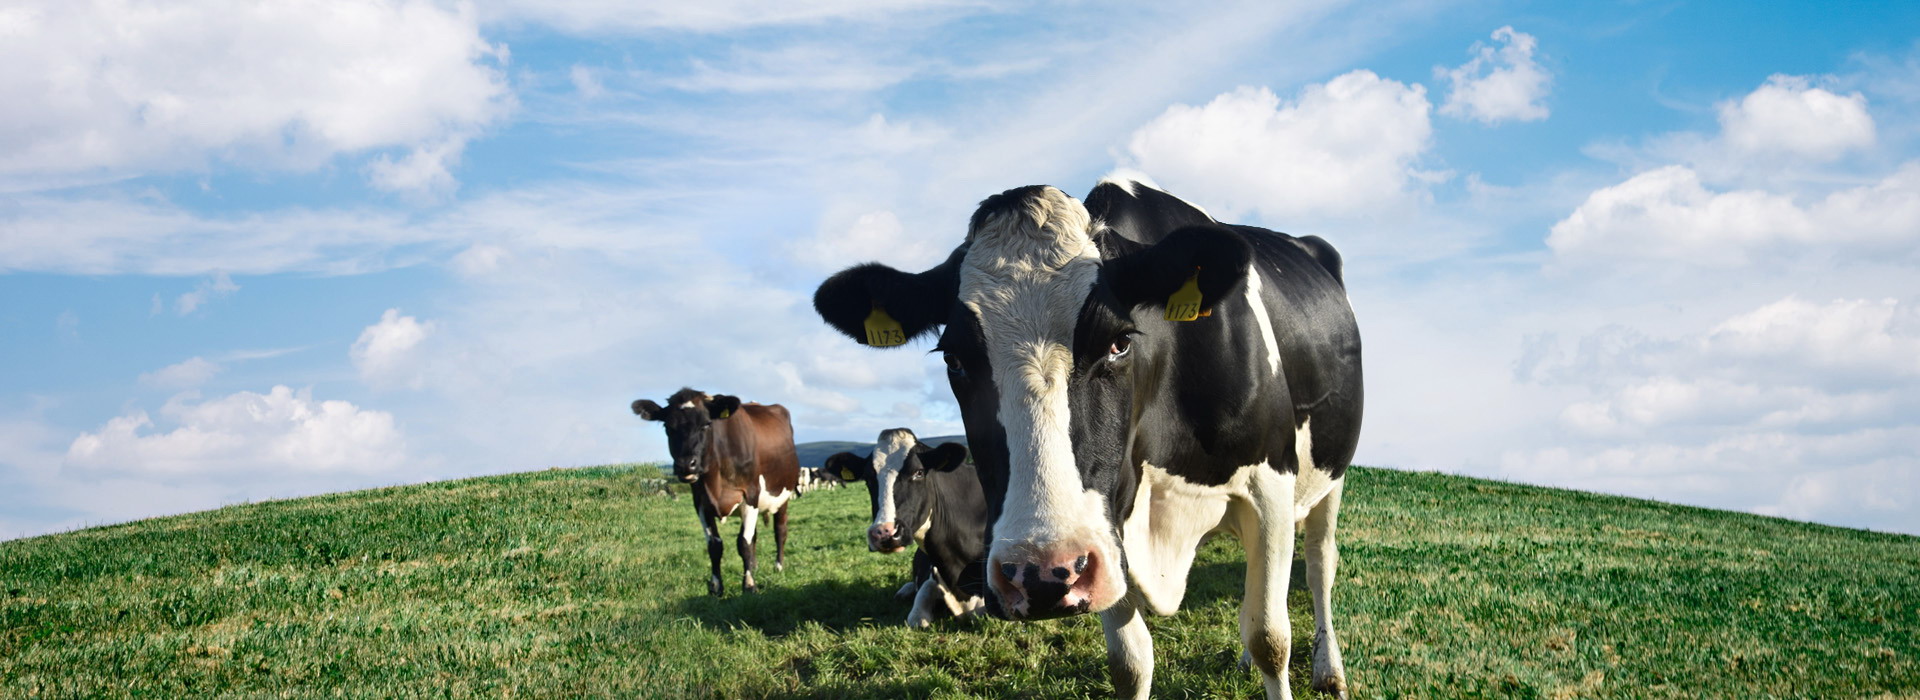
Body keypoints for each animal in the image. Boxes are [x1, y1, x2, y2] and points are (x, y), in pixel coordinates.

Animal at [633, 387, 798, 594]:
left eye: (706, 424)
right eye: (667, 427)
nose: (686, 465)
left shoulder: (750, 495)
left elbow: (743, 542)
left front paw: (749, 585)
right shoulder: (701, 502)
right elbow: (715, 545)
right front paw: (716, 586)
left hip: (783, 495)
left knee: (780, 531)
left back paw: (778, 566)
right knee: (755, 535)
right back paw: (754, 565)